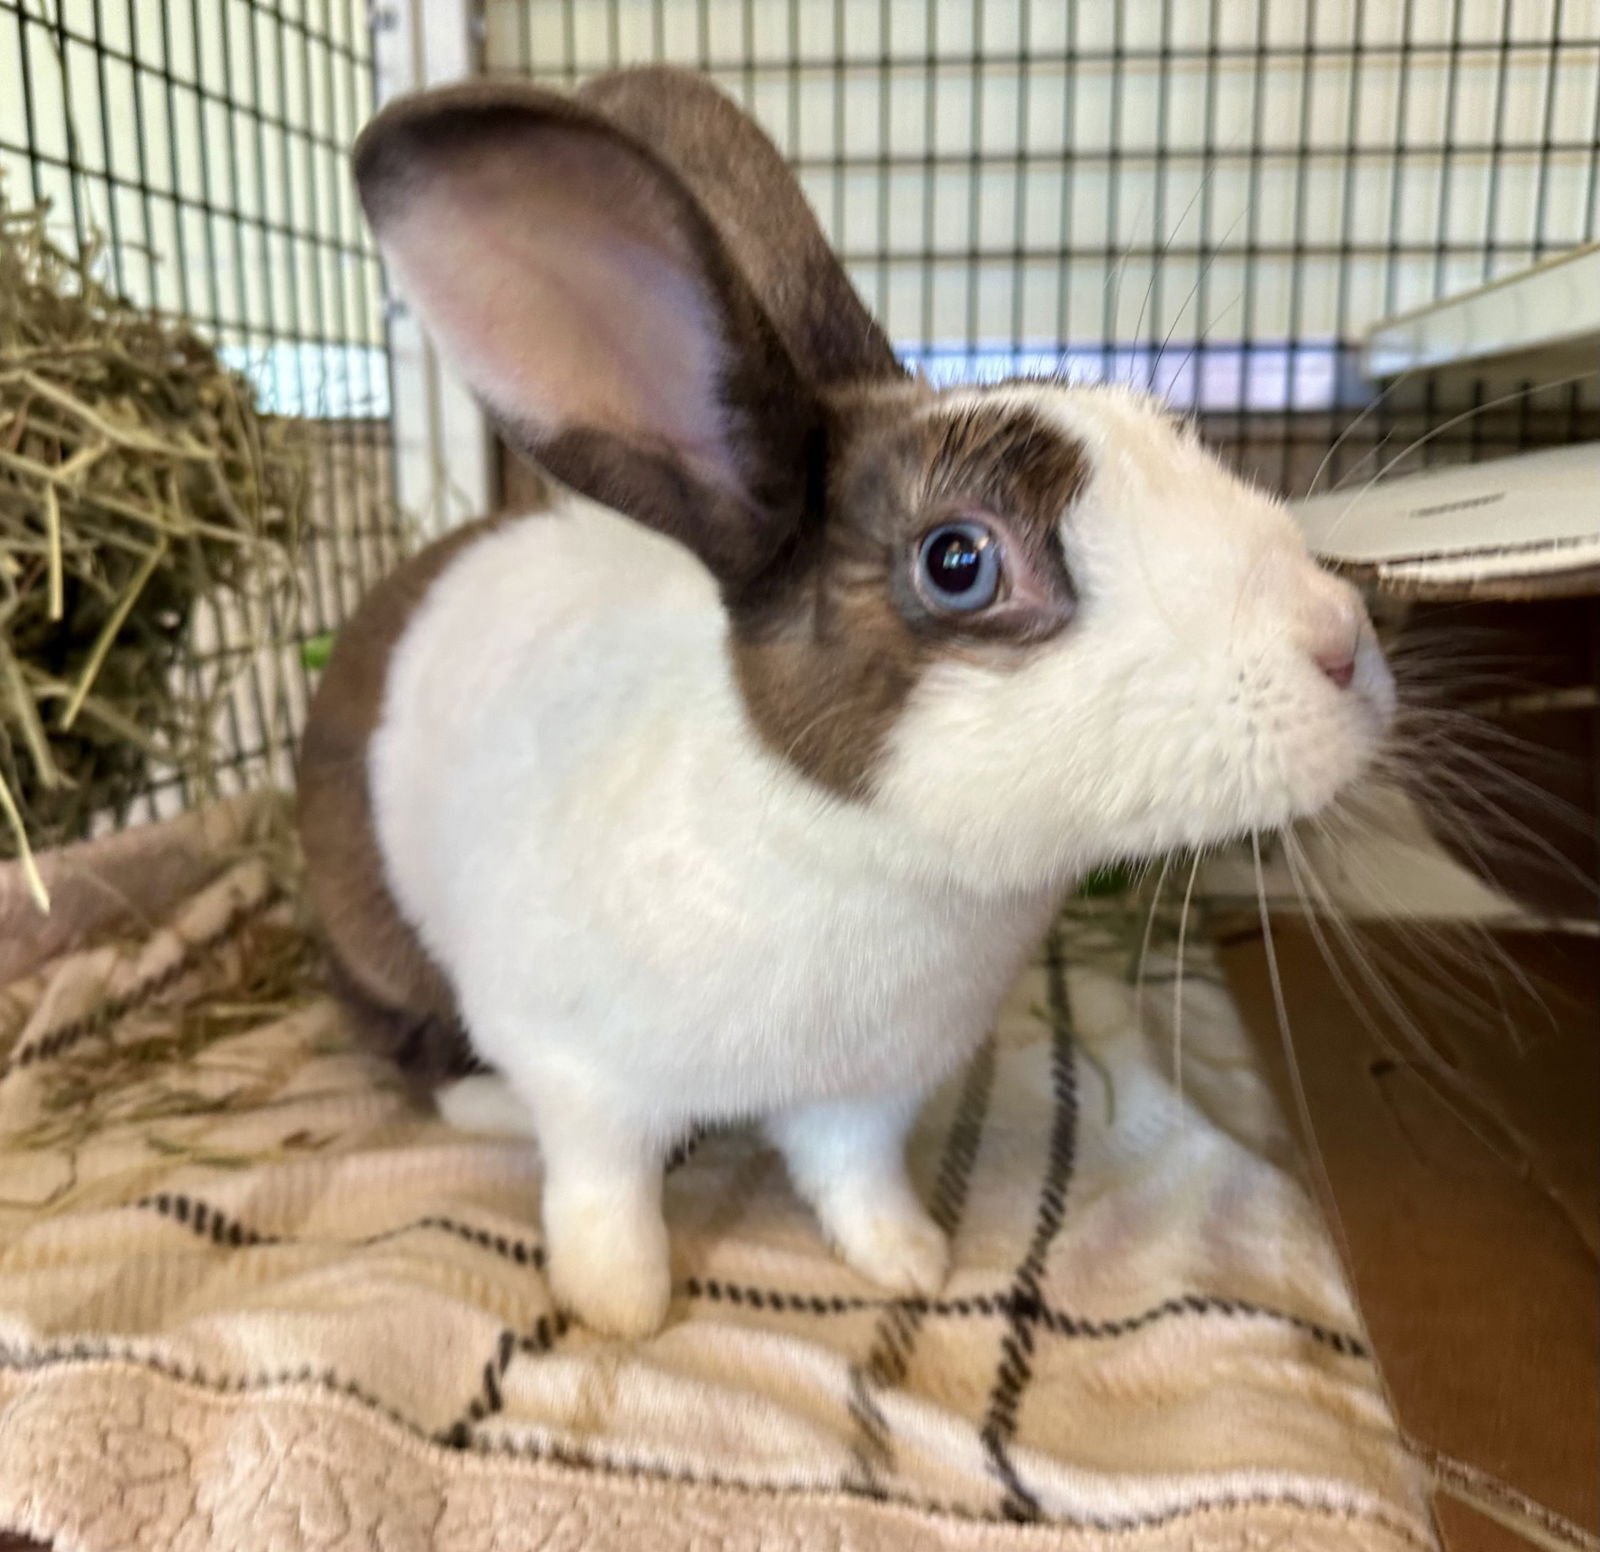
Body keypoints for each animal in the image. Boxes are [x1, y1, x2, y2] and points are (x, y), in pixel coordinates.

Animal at [297, 67, 1395, 1338]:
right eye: (958, 563)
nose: (1343, 645)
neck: (858, 855)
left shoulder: (869, 1094)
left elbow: (852, 1177)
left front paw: (911, 1261)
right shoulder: (584, 1078)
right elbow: (601, 1193)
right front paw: (622, 1308)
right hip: (375, 936)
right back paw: (480, 1105)